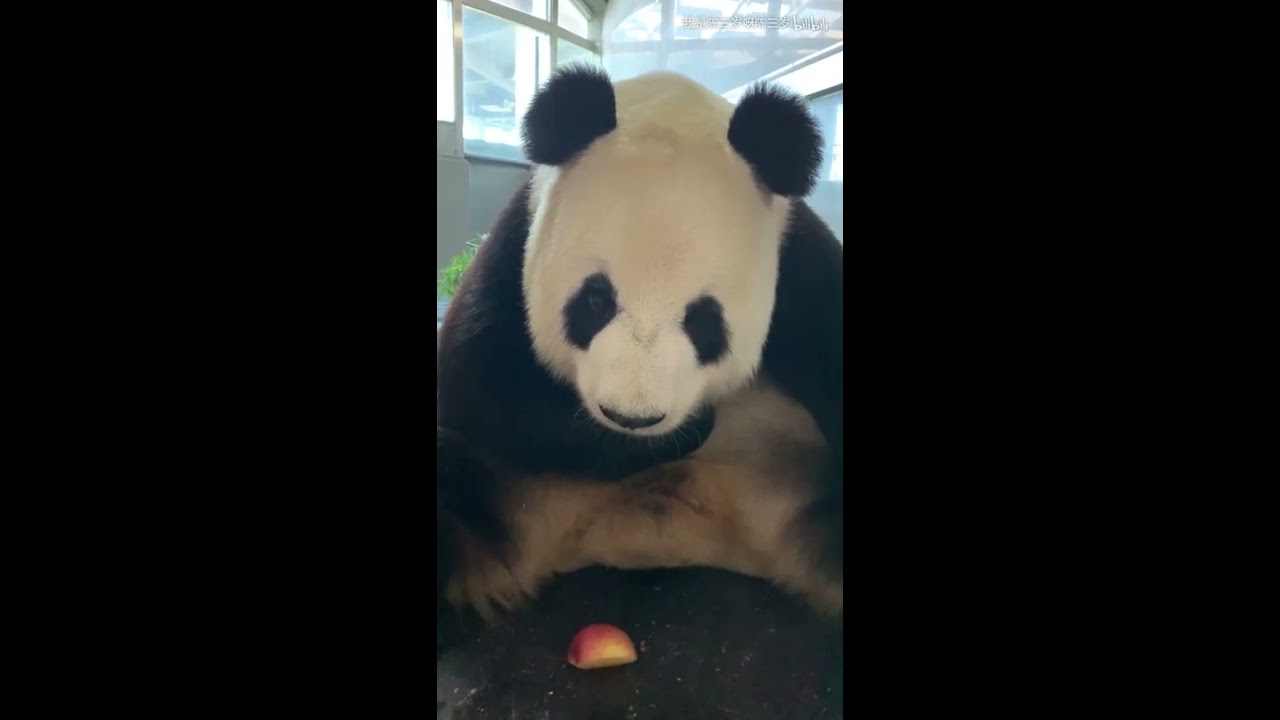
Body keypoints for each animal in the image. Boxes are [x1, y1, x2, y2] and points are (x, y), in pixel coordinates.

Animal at [437, 66, 843, 641]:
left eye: (703, 319)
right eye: (596, 301)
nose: (631, 417)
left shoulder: (800, 261)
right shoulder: (516, 244)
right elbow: (478, 391)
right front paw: (680, 434)